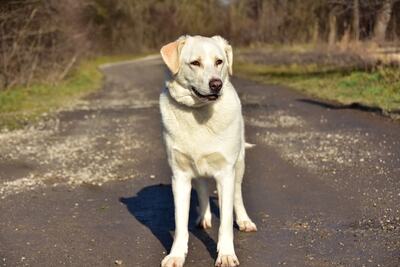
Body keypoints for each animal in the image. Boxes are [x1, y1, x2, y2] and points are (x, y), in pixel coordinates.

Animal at [159, 35, 256, 267]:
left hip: (239, 165)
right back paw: (204, 218)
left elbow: (226, 222)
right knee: (202, 189)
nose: (216, 84)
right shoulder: (179, 176)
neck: (199, 112)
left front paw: (226, 255)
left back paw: (244, 220)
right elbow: (180, 224)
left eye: (219, 62)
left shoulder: (226, 174)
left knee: (237, 195)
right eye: (195, 63)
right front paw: (176, 255)